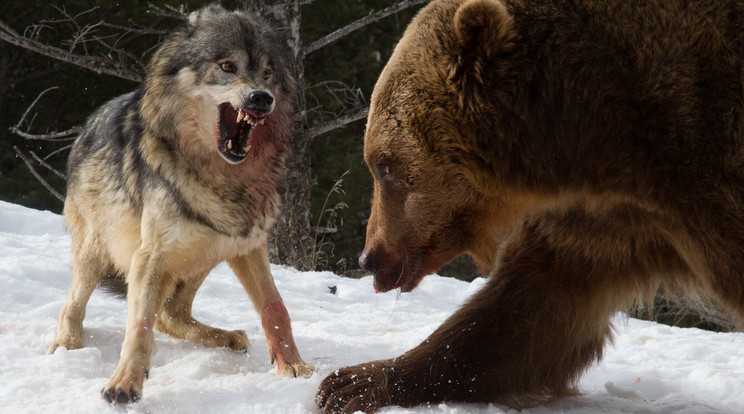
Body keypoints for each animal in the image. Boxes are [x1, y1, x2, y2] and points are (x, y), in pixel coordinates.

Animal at [46, 5, 314, 404]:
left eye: (267, 73)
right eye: (228, 66)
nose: (262, 98)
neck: (222, 179)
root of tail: (86, 127)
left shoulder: (248, 245)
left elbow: (275, 307)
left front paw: (293, 365)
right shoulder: (150, 256)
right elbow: (139, 326)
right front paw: (125, 382)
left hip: (208, 250)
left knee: (171, 315)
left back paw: (228, 337)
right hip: (101, 250)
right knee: (74, 307)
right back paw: (66, 345)